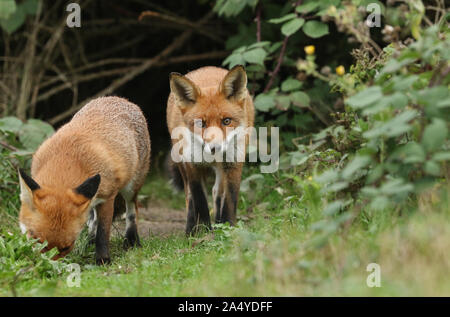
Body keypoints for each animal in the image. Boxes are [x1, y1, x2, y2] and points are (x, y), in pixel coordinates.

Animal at [18, 95, 151, 262]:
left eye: (66, 247)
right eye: (36, 240)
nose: (46, 264)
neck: (65, 161)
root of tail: (120, 99)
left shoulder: (108, 196)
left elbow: (103, 231)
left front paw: (102, 259)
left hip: (131, 186)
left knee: (132, 211)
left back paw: (132, 240)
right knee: (93, 220)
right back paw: (89, 241)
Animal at [167, 65, 255, 233]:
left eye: (226, 121)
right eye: (201, 123)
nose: (216, 148)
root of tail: (207, 67)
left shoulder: (234, 164)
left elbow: (229, 199)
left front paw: (228, 227)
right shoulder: (192, 165)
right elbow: (199, 200)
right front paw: (203, 230)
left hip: (222, 169)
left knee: (216, 192)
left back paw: (218, 222)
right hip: (181, 163)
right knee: (189, 196)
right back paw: (190, 229)